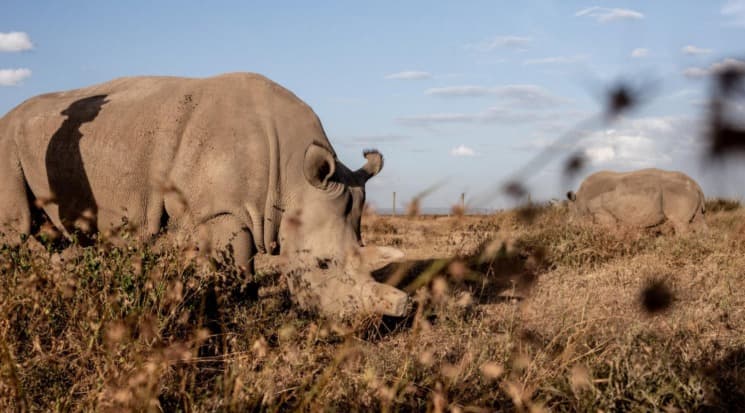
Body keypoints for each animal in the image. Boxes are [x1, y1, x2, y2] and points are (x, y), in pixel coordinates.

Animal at [0, 72, 408, 317]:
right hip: (7, 139)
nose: (360, 326)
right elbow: (237, 264)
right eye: (323, 264)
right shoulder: (220, 211)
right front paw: (233, 312)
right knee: (16, 229)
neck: (293, 178)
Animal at [566, 168, 706, 233]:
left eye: (573, 224)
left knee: (680, 223)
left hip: (678, 192)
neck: (579, 201)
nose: (570, 229)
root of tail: (696, 185)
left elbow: (610, 230)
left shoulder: (602, 214)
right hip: (687, 192)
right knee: (698, 221)